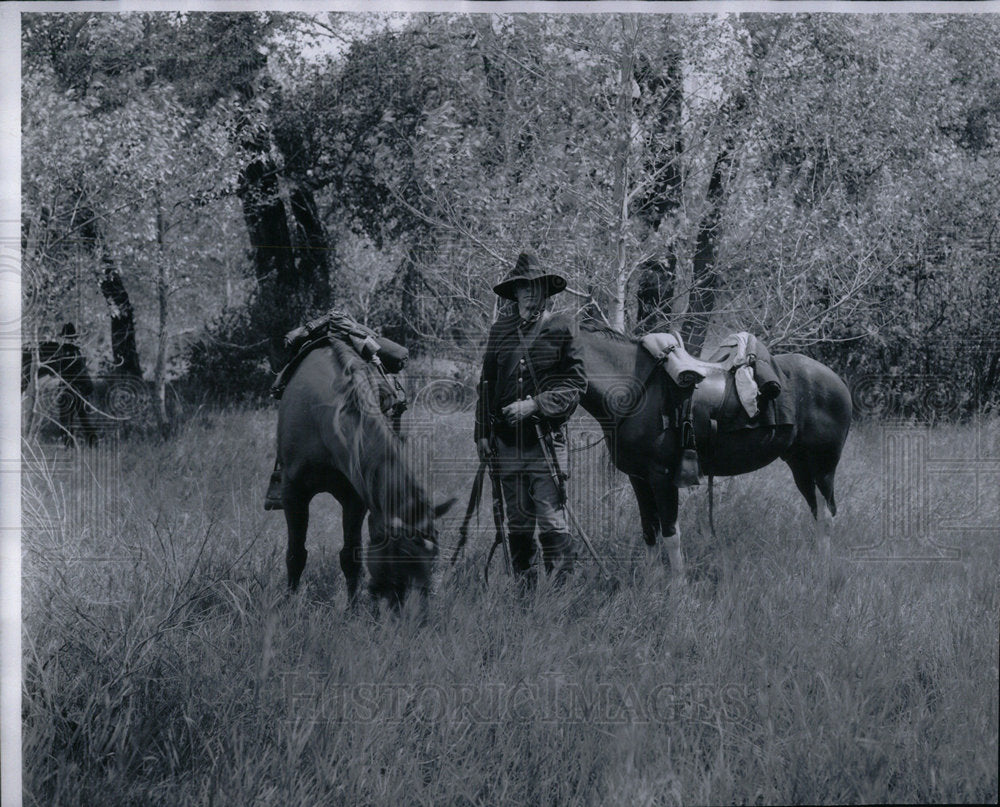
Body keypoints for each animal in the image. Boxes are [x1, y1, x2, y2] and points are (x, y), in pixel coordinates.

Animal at [278, 338, 458, 608]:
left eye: (434, 551)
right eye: (402, 553)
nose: (418, 610)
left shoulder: (355, 496)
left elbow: (350, 557)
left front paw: (352, 610)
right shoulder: (294, 492)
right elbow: (295, 553)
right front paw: (288, 605)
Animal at [576, 326, 848, 576]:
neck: (636, 390)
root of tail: (838, 381)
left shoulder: (662, 477)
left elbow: (671, 535)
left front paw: (678, 589)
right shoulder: (639, 478)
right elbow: (649, 530)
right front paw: (651, 581)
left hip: (823, 468)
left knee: (827, 515)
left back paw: (824, 570)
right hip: (800, 466)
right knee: (818, 511)